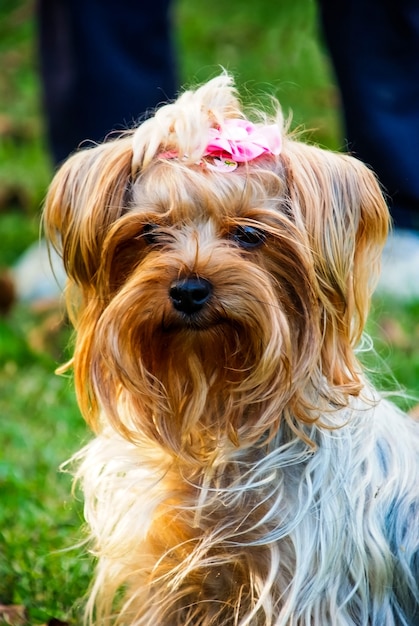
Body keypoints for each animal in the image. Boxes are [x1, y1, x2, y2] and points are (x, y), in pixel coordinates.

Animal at [43, 74, 419, 624]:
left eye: (248, 234)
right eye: (150, 232)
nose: (189, 289)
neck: (215, 404)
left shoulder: (304, 581)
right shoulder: (161, 572)